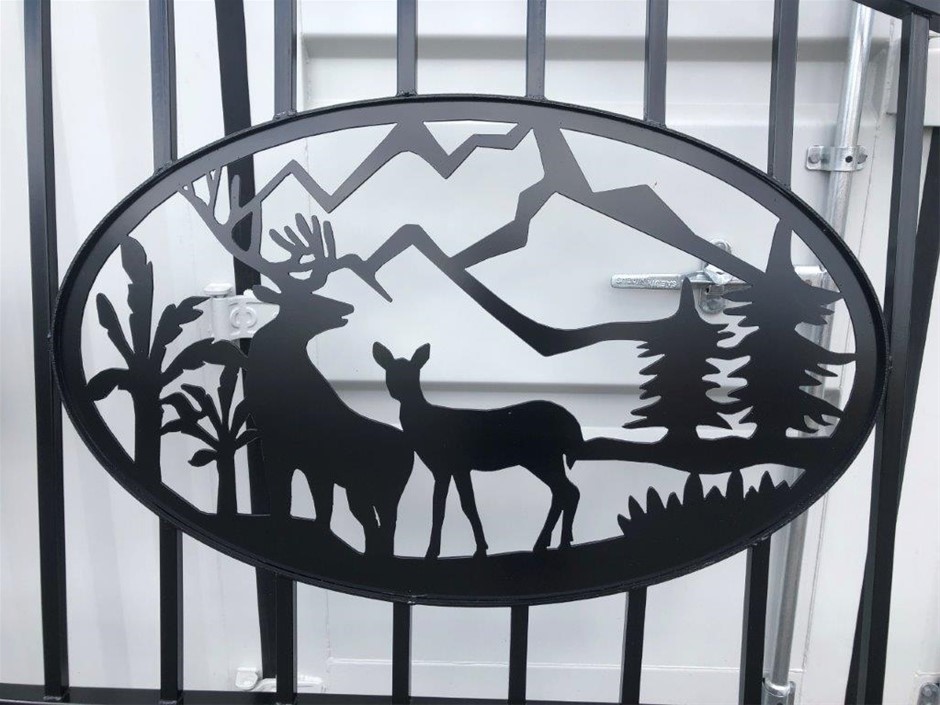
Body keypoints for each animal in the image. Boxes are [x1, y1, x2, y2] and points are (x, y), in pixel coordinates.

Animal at [180, 170, 413, 555]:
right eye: (303, 299)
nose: (345, 307)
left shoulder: (303, 457)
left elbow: (305, 508)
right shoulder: (289, 454)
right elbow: (304, 509)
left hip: (382, 490)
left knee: (386, 529)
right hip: (363, 490)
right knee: (374, 530)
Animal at [373, 342, 584, 559]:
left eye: (414, 372)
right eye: (390, 370)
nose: (399, 390)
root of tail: (572, 423)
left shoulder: (447, 465)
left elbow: (444, 507)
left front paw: (433, 552)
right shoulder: (456, 468)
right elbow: (463, 505)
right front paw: (479, 548)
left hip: (542, 457)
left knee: (567, 491)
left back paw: (554, 543)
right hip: (548, 458)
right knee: (565, 492)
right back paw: (555, 542)